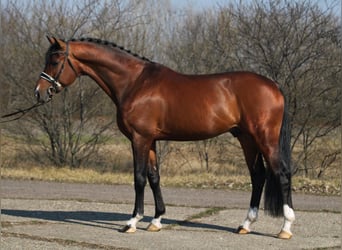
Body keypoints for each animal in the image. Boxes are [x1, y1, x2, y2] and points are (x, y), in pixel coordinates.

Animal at [36, 36, 296, 238]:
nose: (39, 92)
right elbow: (154, 177)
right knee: (258, 176)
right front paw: (156, 220)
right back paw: (245, 224)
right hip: (246, 139)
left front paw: (132, 222)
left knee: (281, 173)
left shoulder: (139, 139)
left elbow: (139, 178)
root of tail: (274, 85)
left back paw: (285, 228)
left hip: (265, 138)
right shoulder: (150, 140)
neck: (135, 82)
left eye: (55, 60)